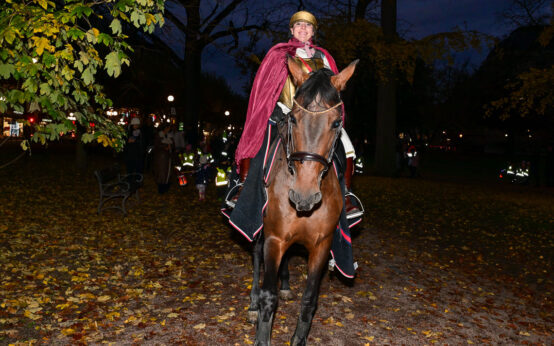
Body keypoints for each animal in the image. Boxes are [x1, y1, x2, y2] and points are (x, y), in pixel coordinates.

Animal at [249, 58, 358, 344]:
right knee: (256, 257)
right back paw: (252, 304)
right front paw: (261, 331)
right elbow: (268, 297)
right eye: (294, 119)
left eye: (336, 123)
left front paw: (299, 338)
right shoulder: (274, 239)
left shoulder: (321, 245)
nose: (304, 195)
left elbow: (309, 300)